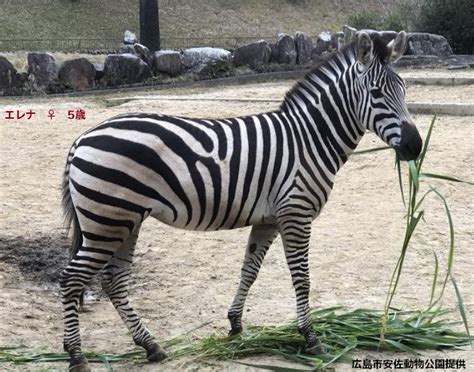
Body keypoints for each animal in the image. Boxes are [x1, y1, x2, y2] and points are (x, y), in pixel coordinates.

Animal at [60, 30, 422, 370]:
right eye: (376, 94)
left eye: (404, 89)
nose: (415, 146)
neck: (309, 139)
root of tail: (81, 139)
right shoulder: (296, 214)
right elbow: (301, 278)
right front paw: (310, 336)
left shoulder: (269, 220)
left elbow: (249, 270)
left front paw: (235, 324)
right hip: (108, 220)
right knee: (72, 278)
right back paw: (76, 355)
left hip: (126, 220)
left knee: (113, 280)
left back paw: (150, 345)